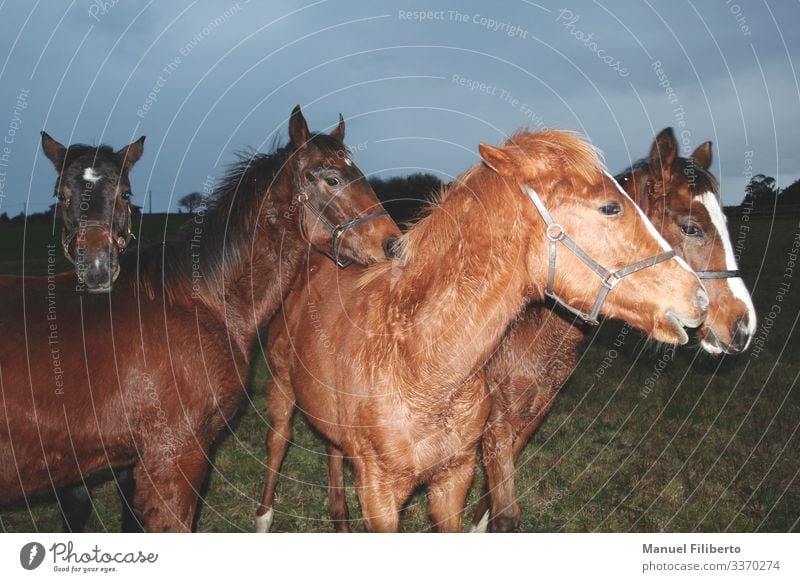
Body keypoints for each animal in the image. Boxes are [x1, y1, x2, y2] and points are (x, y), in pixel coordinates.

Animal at [255, 129, 708, 532]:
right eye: (611, 208)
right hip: (281, 390)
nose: (699, 298)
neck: (418, 361)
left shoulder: (454, 479)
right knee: (278, 444)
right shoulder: (380, 496)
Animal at [468, 128, 756, 532]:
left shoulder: (529, 419)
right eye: (691, 228)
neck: (531, 325)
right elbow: (503, 513)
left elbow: (490, 506)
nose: (742, 325)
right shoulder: (495, 422)